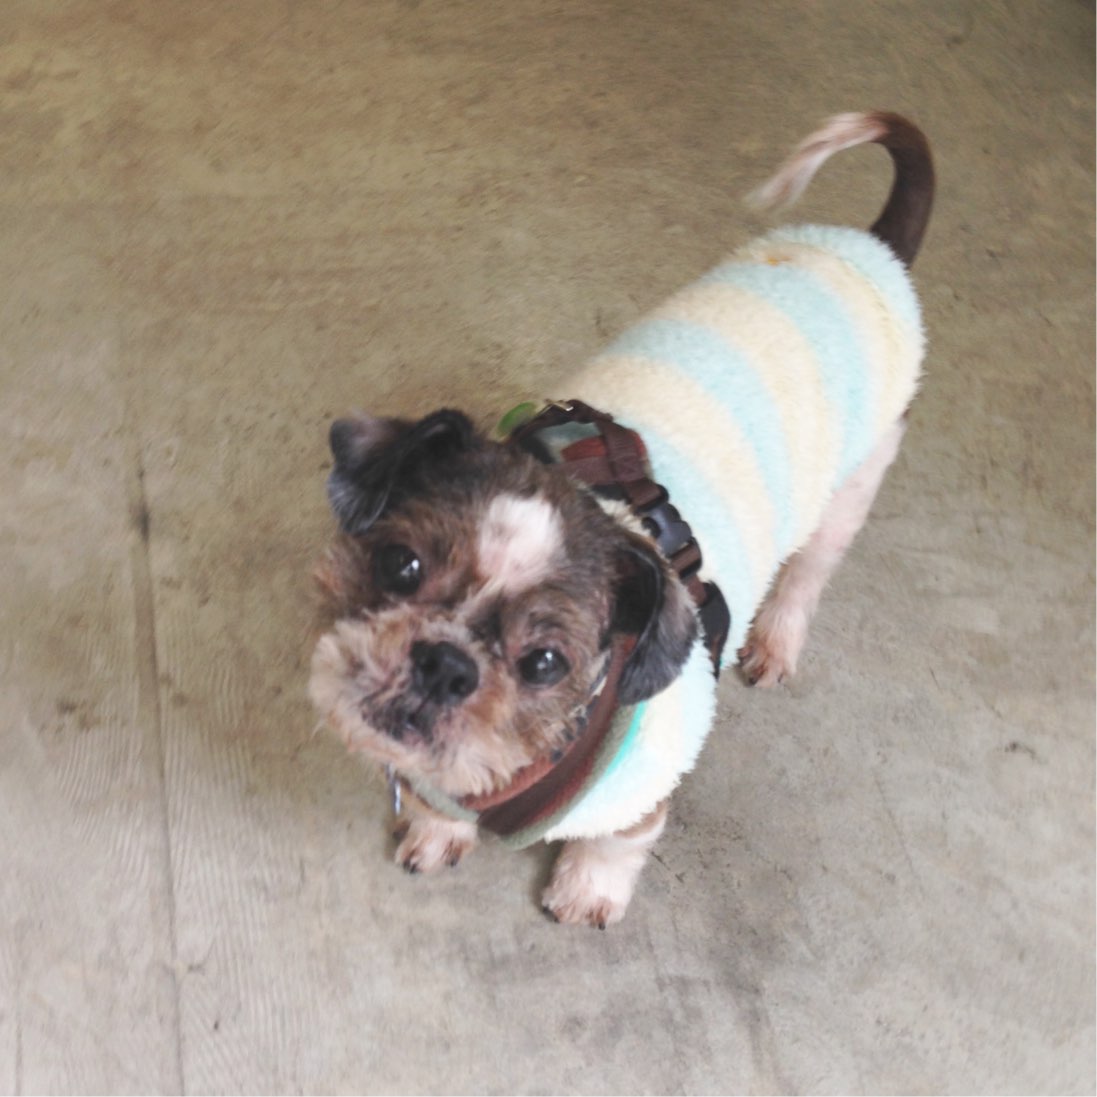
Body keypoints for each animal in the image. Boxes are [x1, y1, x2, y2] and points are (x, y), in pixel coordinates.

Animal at [309, 111, 934, 927]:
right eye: (399, 564)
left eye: (546, 662)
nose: (444, 663)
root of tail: (868, 249)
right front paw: (438, 829)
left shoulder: (650, 782)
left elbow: (619, 839)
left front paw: (586, 888)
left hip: (855, 482)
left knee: (808, 573)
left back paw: (777, 641)